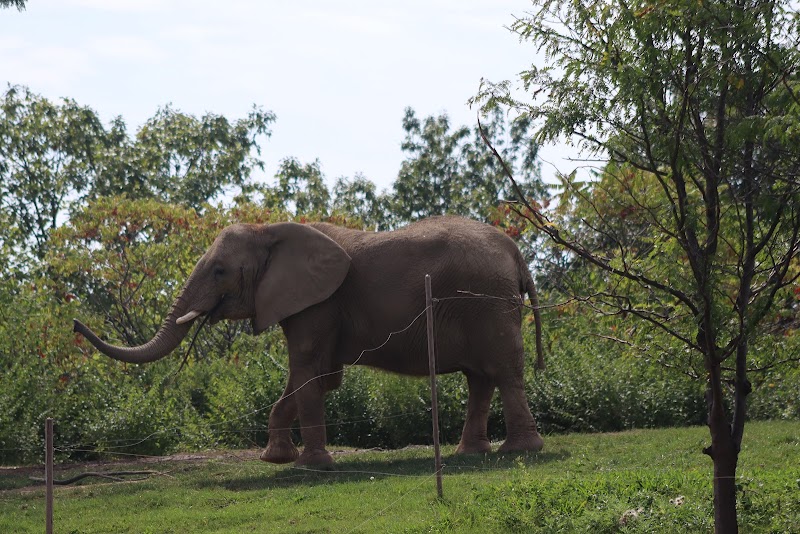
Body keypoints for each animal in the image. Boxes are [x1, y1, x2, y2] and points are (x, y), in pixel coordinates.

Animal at [74, 215, 545, 467]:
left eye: (220, 272)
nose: (76, 324)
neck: (269, 230)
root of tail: (516, 252)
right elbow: (316, 377)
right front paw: (276, 459)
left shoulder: (318, 304)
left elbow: (304, 369)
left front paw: (312, 465)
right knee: (479, 378)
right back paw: (472, 454)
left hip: (487, 303)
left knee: (503, 371)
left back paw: (518, 451)